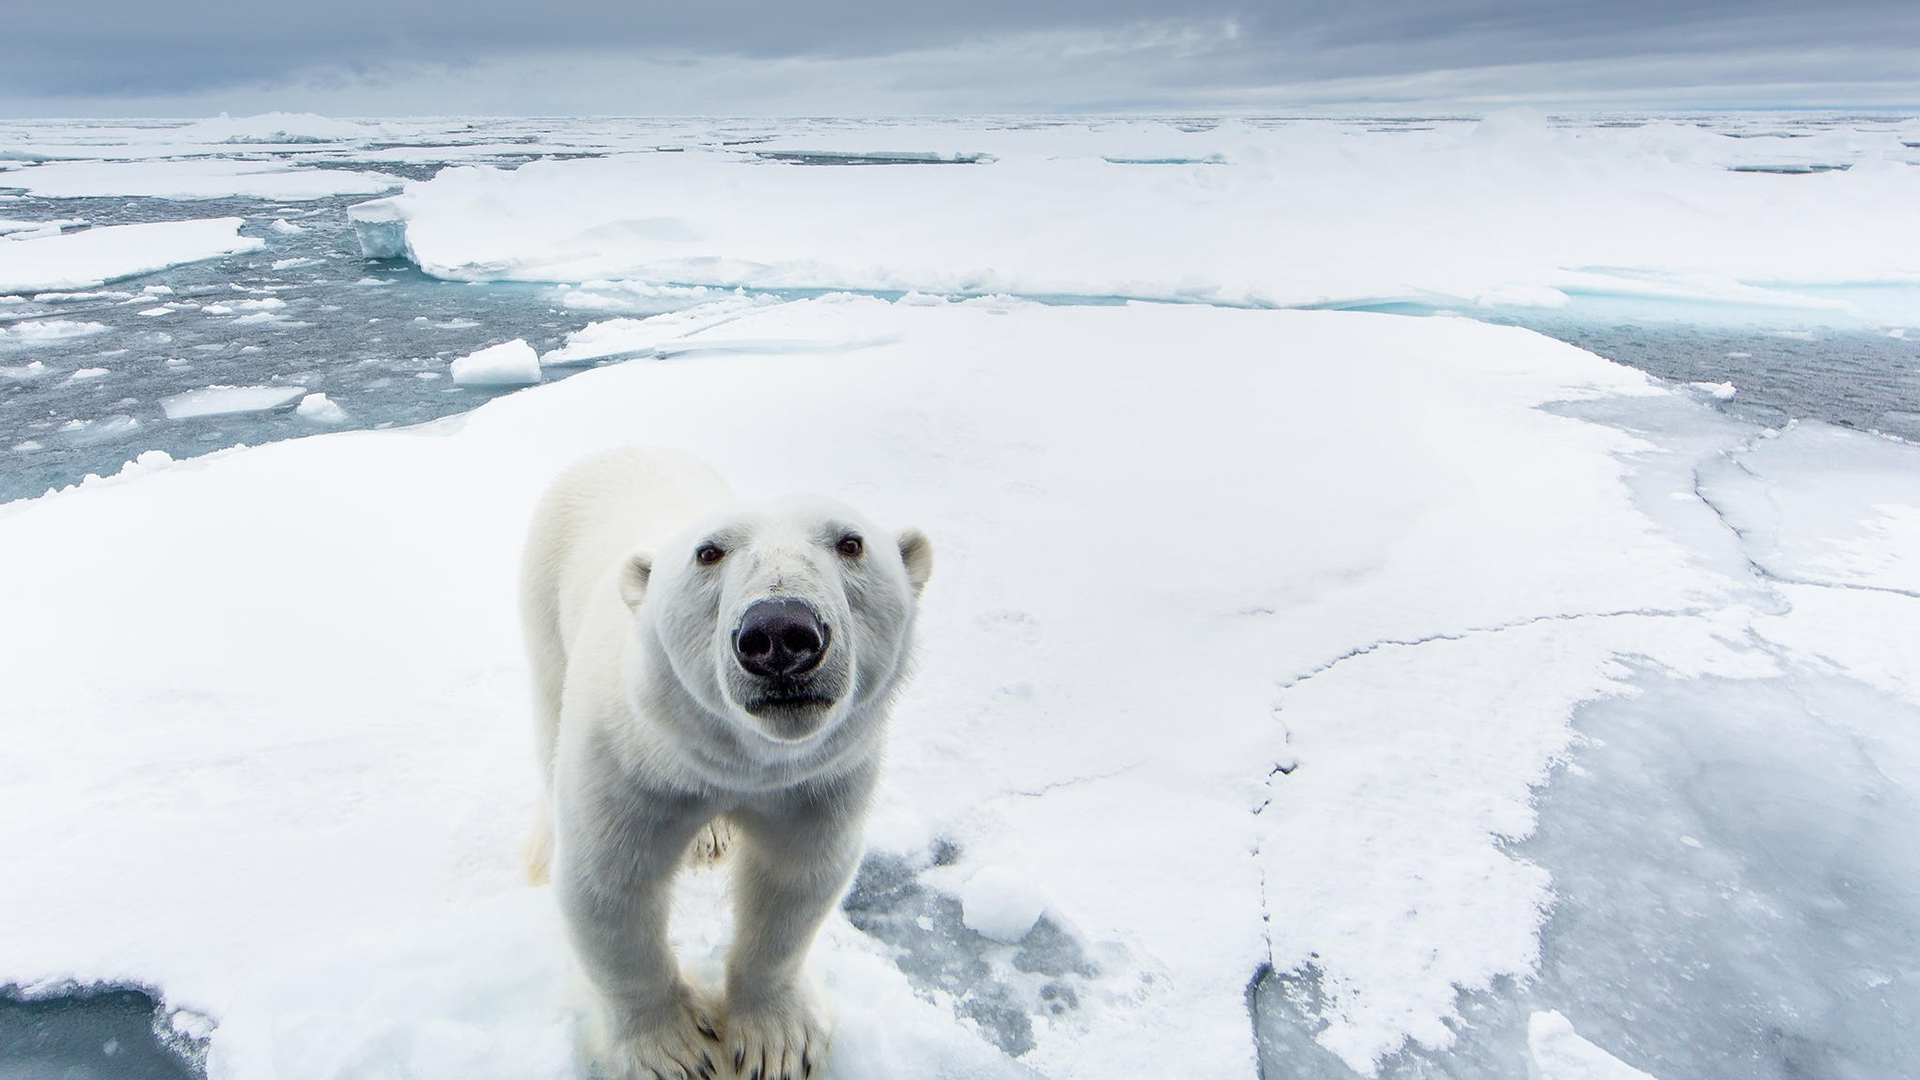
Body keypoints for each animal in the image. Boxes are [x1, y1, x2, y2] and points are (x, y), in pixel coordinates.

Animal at [514, 445, 925, 1076]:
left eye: (851, 542)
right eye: (708, 552)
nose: (780, 632)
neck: (736, 761)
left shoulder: (815, 780)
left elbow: (794, 879)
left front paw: (776, 1040)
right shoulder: (632, 761)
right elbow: (609, 884)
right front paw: (675, 1050)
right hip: (543, 599)